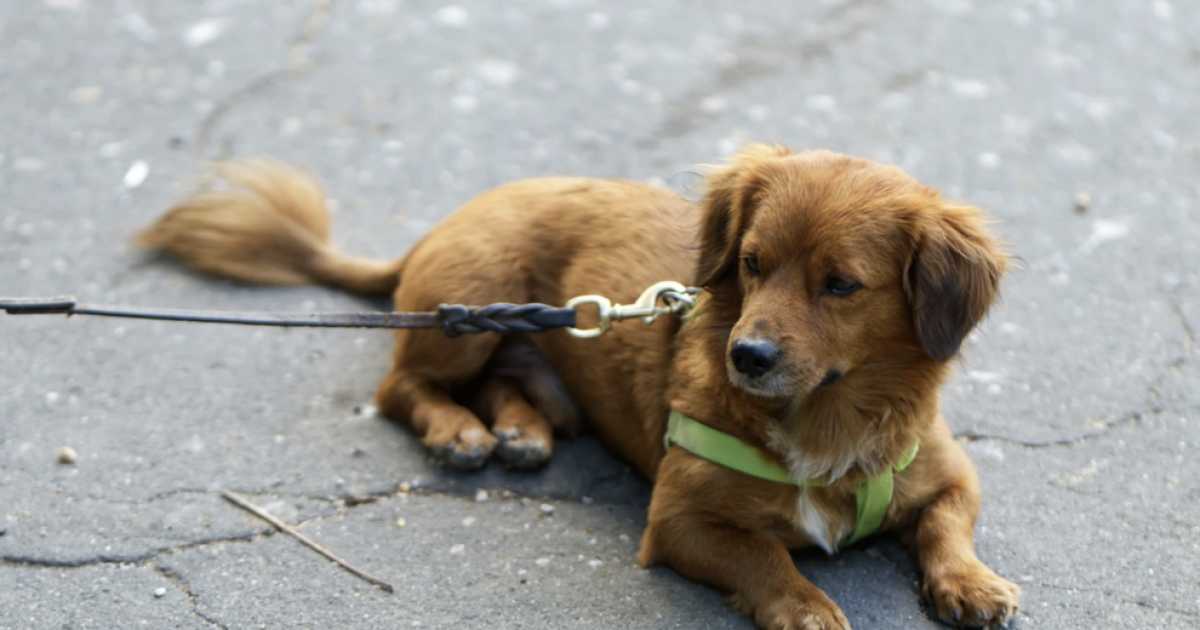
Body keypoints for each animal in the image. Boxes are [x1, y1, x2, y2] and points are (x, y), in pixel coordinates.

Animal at [140, 145, 1022, 628]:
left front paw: (972, 583)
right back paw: (459, 432)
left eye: (841, 285)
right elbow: (765, 554)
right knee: (400, 387)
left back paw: (519, 430)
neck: (824, 418)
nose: (747, 355)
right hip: (475, 310)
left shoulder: (950, 474)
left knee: (505, 383)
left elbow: (946, 525)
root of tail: (441, 225)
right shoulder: (679, 522)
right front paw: (803, 602)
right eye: (751, 263)